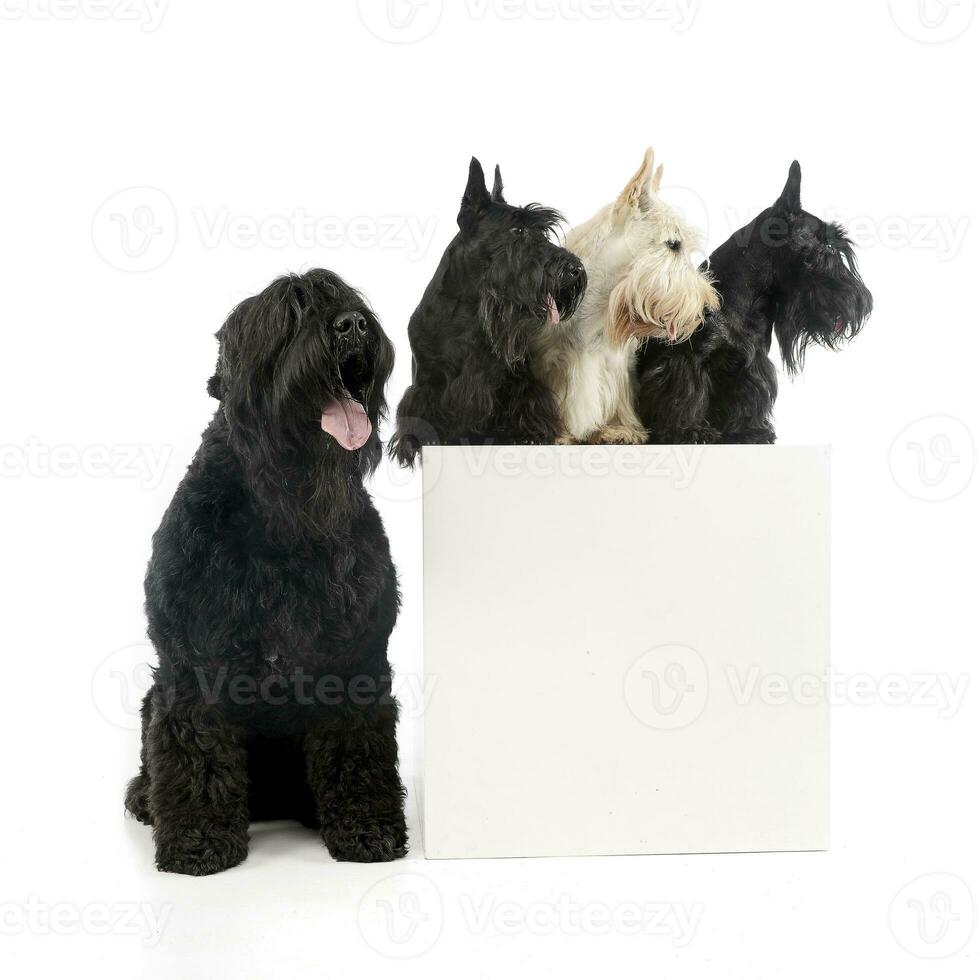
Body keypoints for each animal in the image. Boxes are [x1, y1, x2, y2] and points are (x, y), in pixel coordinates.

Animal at [124, 266, 408, 872]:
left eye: (346, 299)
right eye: (289, 313)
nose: (352, 325)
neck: (285, 518)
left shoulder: (356, 660)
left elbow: (357, 748)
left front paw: (368, 828)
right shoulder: (193, 665)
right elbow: (196, 751)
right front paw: (198, 840)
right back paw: (143, 797)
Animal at [388, 159, 588, 466]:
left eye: (542, 232)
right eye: (517, 231)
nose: (575, 269)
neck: (470, 310)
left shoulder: (514, 383)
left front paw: (527, 436)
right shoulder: (427, 381)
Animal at [636, 162, 872, 444]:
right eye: (826, 246)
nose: (862, 301)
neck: (738, 304)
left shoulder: (751, 366)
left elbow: (747, 398)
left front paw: (749, 430)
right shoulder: (685, 358)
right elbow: (685, 395)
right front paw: (689, 430)